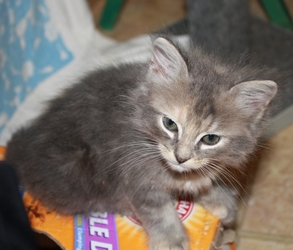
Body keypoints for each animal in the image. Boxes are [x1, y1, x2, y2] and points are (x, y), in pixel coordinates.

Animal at [6, 37, 276, 250]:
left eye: (210, 139)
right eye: (169, 124)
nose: (181, 157)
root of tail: (22, 145)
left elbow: (201, 181)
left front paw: (218, 198)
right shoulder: (135, 178)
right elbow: (159, 212)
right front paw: (170, 241)